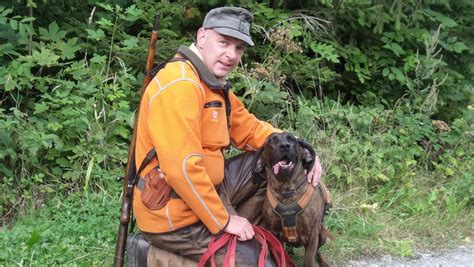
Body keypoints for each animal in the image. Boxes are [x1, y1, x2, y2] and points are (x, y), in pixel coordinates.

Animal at [256, 133, 330, 267]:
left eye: (292, 139)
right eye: (272, 140)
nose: (285, 146)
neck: (287, 191)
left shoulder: (312, 237)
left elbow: (309, 261)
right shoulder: (274, 235)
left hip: (322, 235)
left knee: (318, 251)